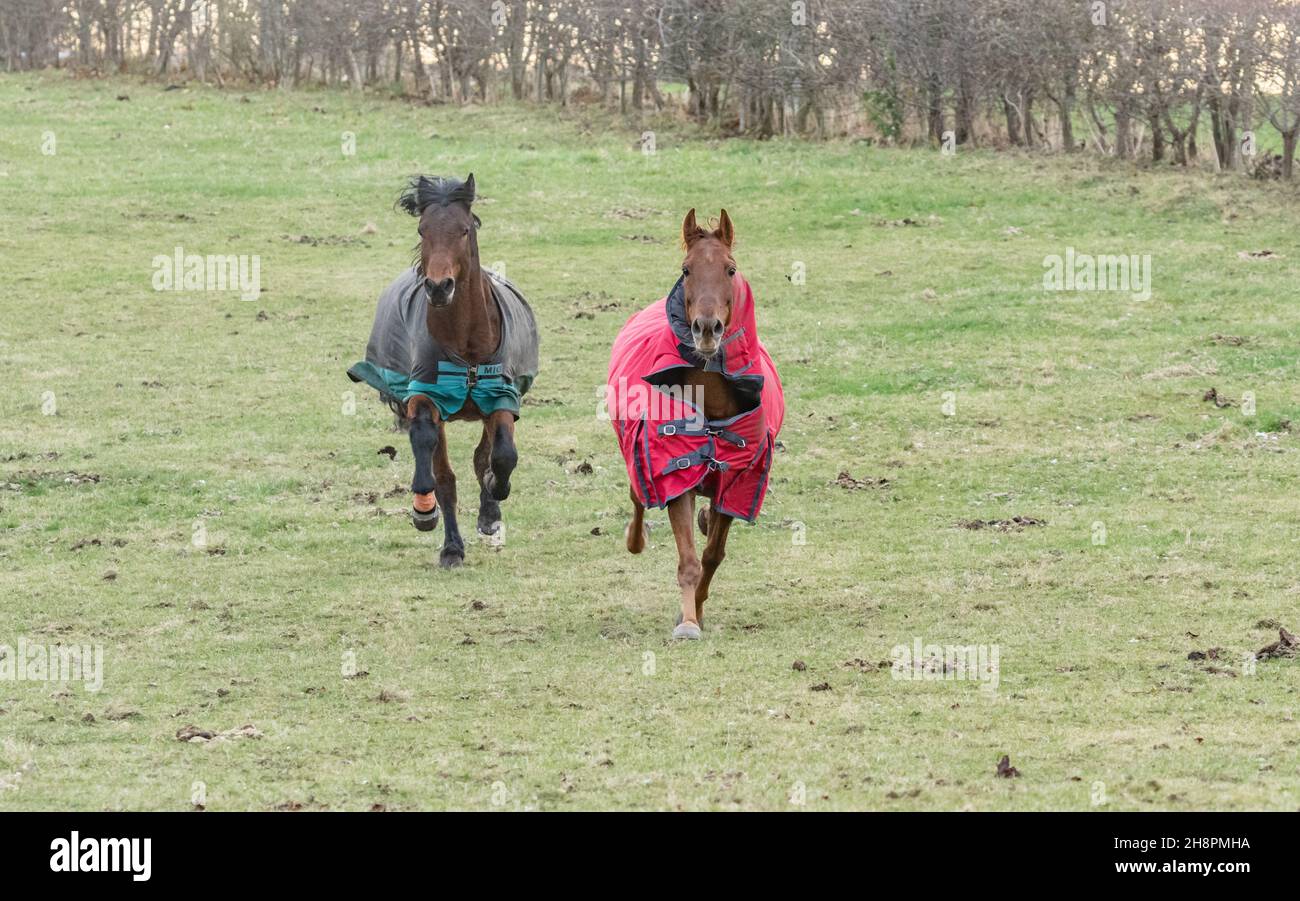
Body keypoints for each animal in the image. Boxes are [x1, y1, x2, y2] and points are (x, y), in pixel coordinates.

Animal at [348, 174, 540, 568]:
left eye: (465, 230)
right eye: (422, 230)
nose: (439, 287)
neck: (465, 340)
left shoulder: (500, 395)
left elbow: (502, 455)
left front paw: (494, 498)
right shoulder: (427, 395)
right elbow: (437, 469)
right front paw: (430, 518)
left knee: (483, 455)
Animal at [607, 209, 784, 638]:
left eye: (730, 269)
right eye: (686, 270)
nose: (706, 328)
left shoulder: (736, 481)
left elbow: (712, 554)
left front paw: (697, 611)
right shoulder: (676, 476)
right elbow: (688, 559)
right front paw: (688, 622)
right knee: (638, 497)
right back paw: (636, 537)